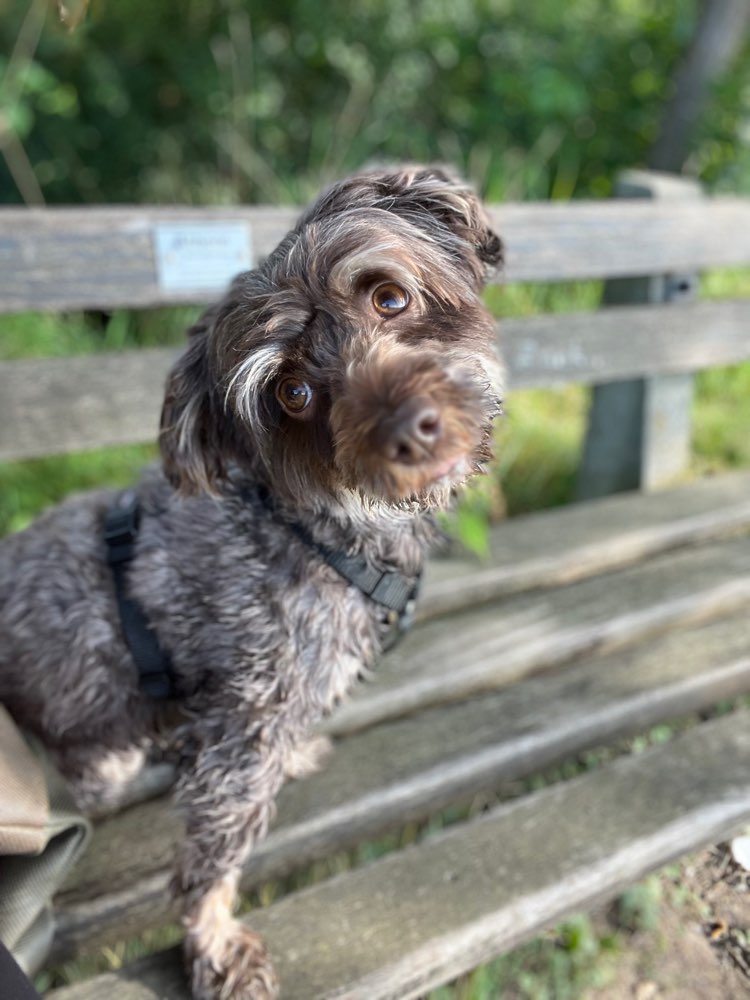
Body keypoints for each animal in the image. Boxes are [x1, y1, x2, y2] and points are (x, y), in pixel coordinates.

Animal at [1, 168, 506, 996]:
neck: (311, 527)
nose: (411, 427)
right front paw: (212, 942)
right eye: (291, 394)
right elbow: (216, 851)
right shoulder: (242, 730)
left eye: (389, 298)